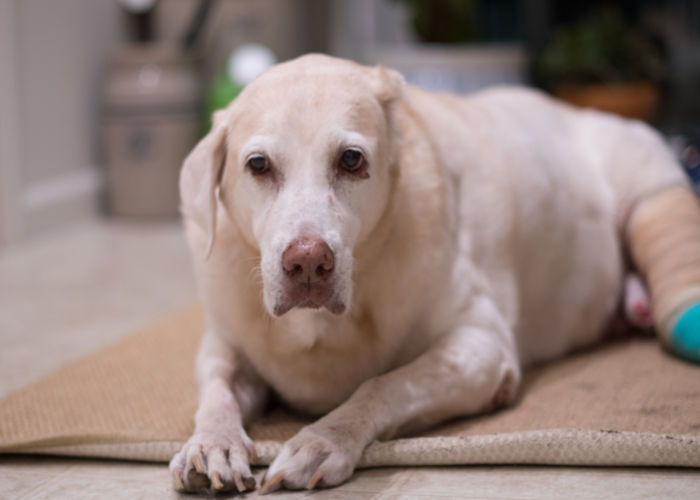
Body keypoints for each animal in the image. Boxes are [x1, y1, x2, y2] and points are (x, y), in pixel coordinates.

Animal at [170, 53, 700, 492]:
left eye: (351, 159)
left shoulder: (482, 346)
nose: (307, 261)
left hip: (646, 189)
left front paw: (324, 439)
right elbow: (216, 389)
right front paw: (212, 443)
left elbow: (382, 385)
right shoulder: (224, 341)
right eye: (258, 165)